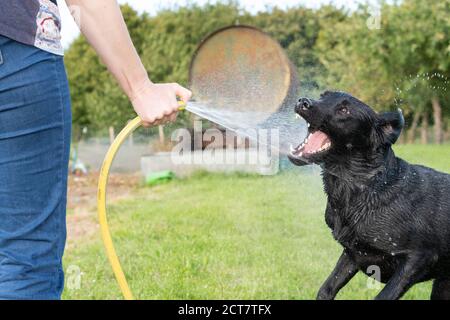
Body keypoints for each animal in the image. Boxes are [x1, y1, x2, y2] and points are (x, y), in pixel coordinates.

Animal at [288, 90, 450, 300]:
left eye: (344, 110)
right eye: (323, 95)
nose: (303, 101)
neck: (366, 187)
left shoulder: (420, 258)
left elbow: (383, 296)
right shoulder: (353, 254)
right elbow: (326, 288)